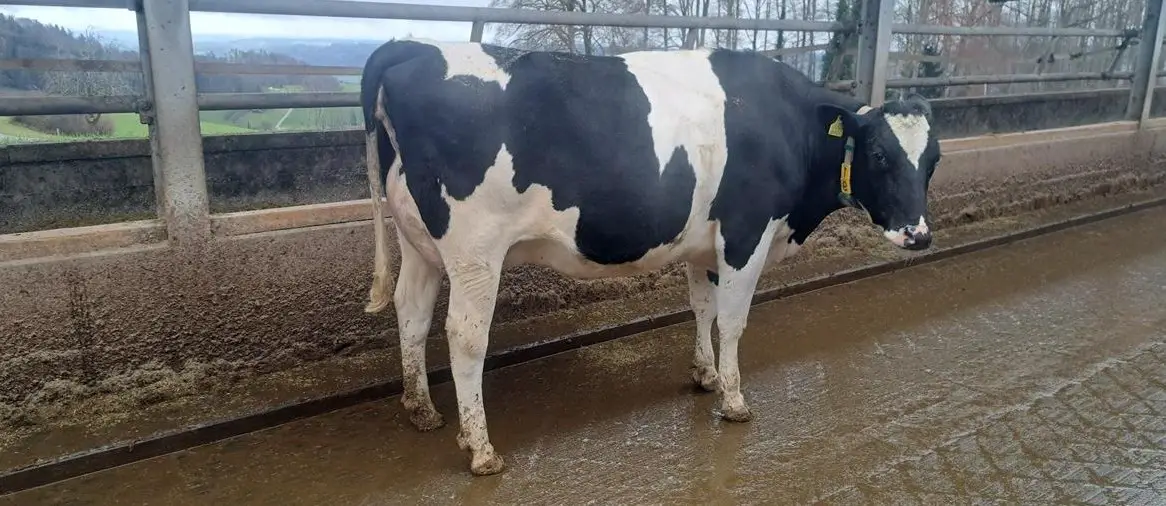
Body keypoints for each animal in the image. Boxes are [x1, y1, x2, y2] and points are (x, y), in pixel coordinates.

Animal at [359, 38, 941, 476]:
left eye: (932, 159)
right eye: (880, 155)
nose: (918, 235)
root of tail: (414, 47)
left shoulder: (704, 243)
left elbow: (702, 308)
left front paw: (706, 376)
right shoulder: (745, 234)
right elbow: (732, 321)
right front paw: (734, 400)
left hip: (419, 243)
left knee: (412, 313)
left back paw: (421, 409)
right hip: (474, 249)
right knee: (464, 335)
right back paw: (480, 449)